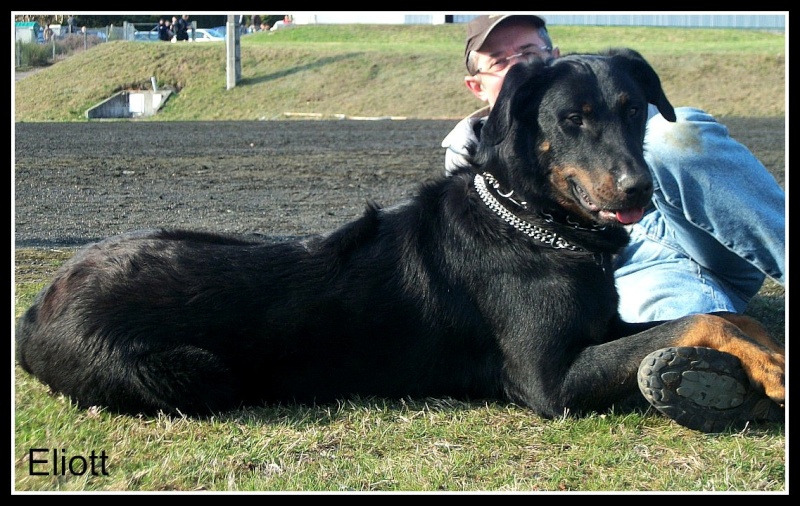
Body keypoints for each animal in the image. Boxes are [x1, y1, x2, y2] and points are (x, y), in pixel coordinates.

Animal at [15, 49, 784, 432]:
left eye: (634, 109)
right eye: (573, 118)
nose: (639, 190)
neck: (530, 221)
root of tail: (36, 309)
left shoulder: (603, 324)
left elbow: (702, 316)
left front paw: (760, 355)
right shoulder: (549, 384)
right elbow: (702, 317)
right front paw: (769, 366)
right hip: (190, 371)